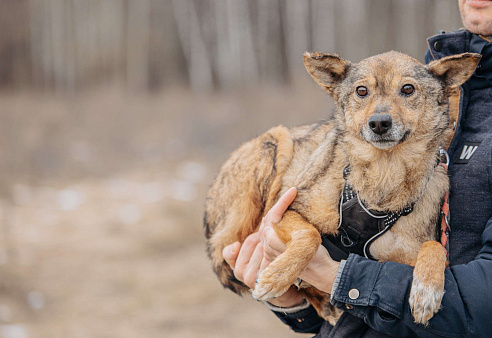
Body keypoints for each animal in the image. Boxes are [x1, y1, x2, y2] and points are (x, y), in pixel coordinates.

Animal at [203, 51, 480, 326]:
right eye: (361, 91)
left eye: (408, 89)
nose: (379, 123)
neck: (384, 171)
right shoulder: (286, 210)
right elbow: (310, 236)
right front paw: (278, 276)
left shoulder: (400, 257)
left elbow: (435, 248)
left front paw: (427, 291)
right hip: (275, 143)